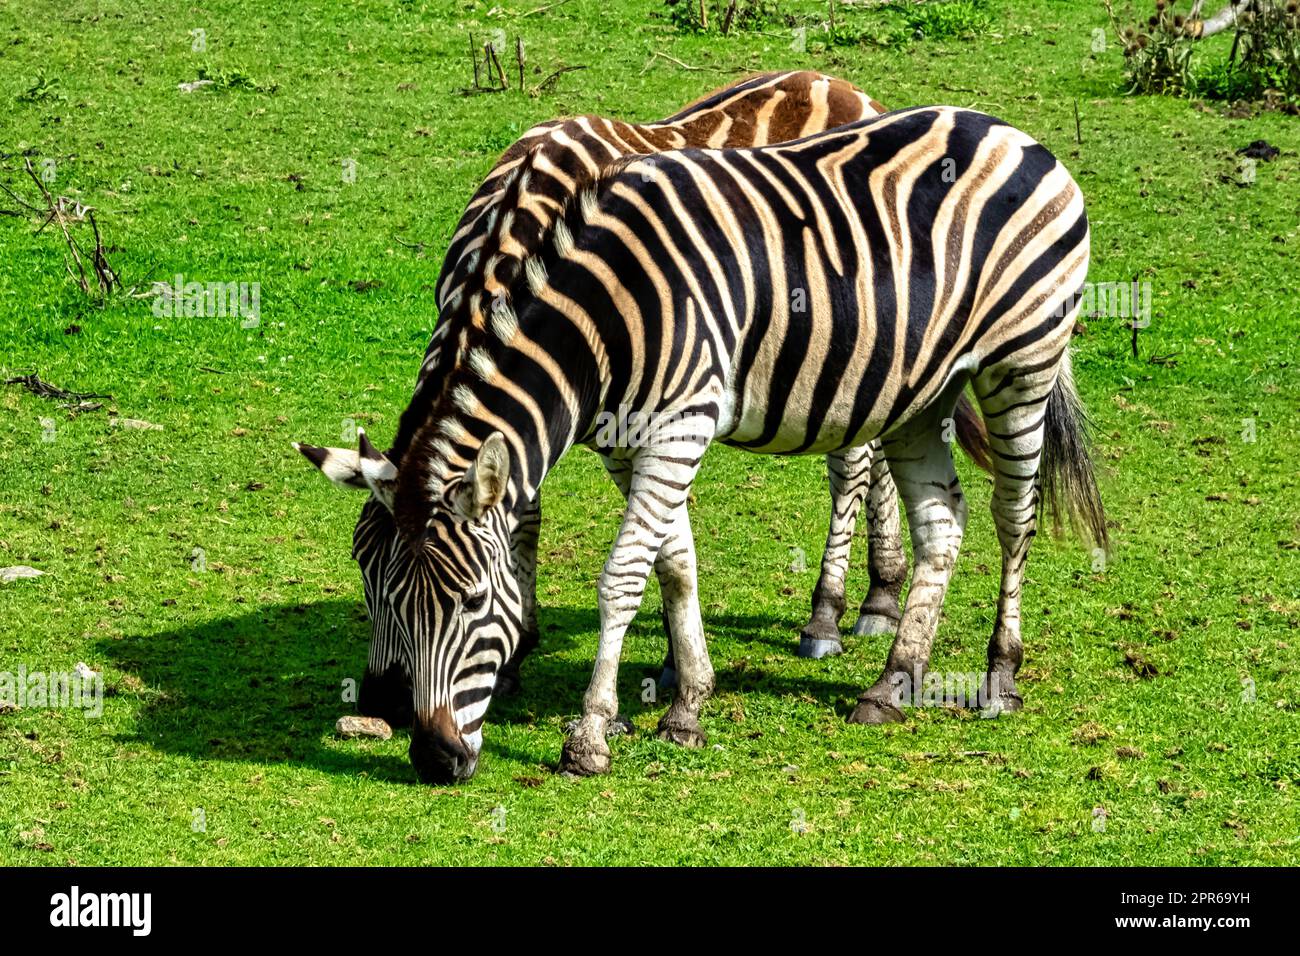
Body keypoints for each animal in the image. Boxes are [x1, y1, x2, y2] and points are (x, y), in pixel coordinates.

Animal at [299, 104, 1102, 780]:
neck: (601, 325)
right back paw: (891, 685)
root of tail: (1010, 131)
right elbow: (675, 563)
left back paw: (997, 676)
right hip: (918, 391)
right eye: (373, 585)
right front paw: (686, 706)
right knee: (943, 524)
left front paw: (590, 735)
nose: (430, 756)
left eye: (469, 603)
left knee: (1012, 516)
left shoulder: (678, 427)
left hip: (1021, 361)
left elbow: (623, 576)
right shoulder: (633, 444)